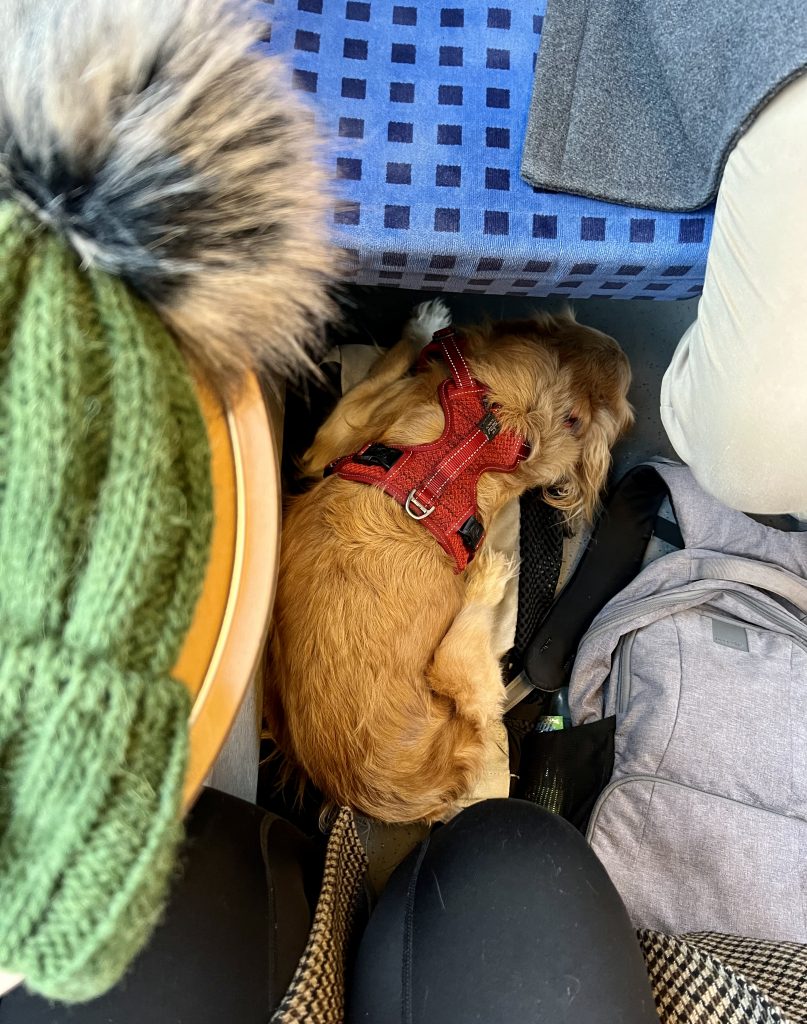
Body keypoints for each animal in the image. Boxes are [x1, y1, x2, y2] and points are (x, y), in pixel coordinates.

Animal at [268, 301, 634, 823]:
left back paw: (488, 578)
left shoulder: (334, 438)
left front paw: (421, 327)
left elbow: (379, 373)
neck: (500, 424)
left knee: (457, 661)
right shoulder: (331, 448)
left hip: (454, 680)